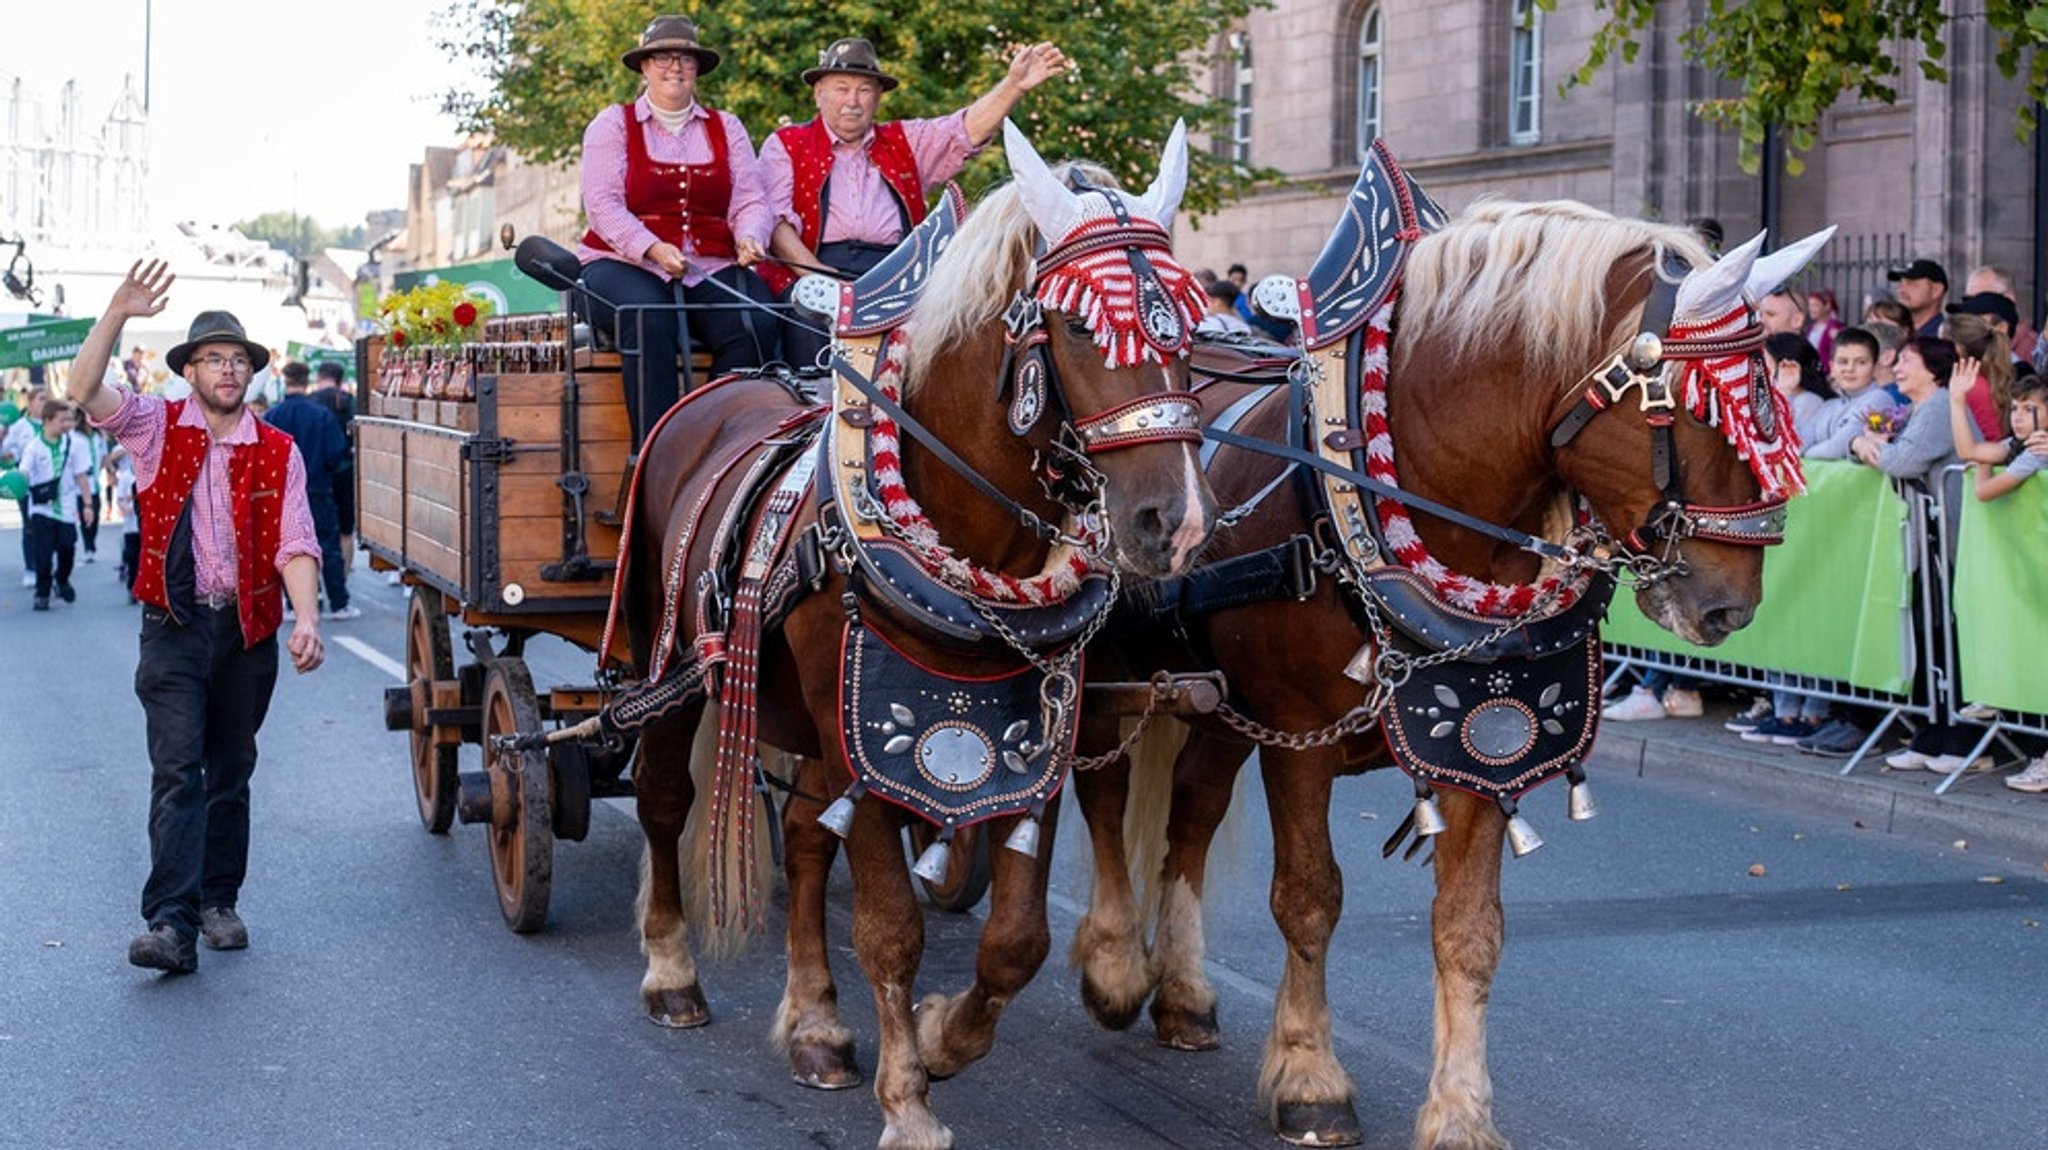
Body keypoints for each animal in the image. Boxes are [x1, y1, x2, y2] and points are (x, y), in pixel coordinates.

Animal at [618, 120, 1212, 1137]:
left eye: (1192, 323)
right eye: (1080, 326)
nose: (1172, 523)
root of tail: (720, 390)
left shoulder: (1030, 738)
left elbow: (1017, 938)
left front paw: (940, 1039)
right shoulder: (865, 740)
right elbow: (891, 928)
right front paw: (909, 1101)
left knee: (805, 837)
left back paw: (817, 1023)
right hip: (673, 663)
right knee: (664, 800)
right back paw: (670, 972)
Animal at [1064, 201, 1835, 1137]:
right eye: (1697, 408)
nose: (1733, 606)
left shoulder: (1477, 742)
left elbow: (1469, 929)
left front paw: (1462, 1113)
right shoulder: (1297, 739)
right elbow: (1308, 897)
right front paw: (1309, 1077)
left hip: (1218, 702)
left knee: (1192, 814)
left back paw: (1181, 991)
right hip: (1116, 677)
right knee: (1102, 794)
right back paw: (1112, 967)